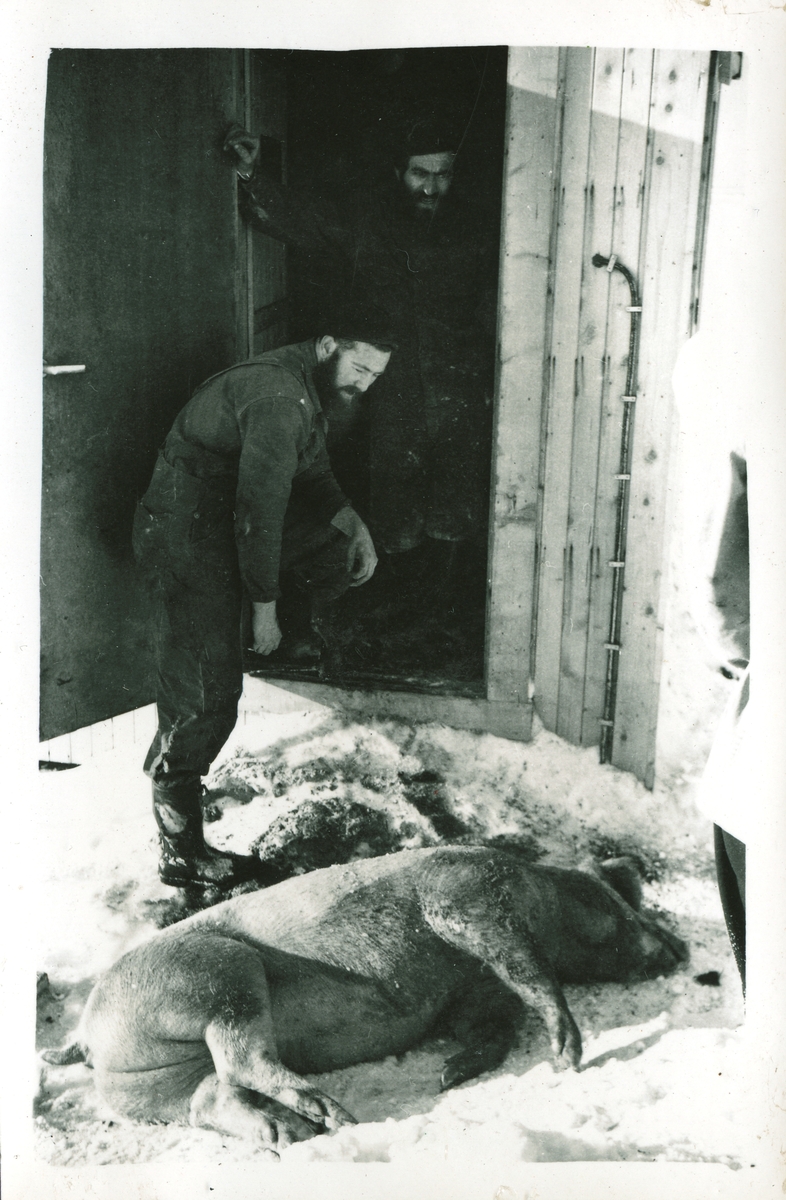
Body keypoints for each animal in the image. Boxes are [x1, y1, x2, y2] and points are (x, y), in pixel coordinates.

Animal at [43, 840, 686, 1156]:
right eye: (616, 898)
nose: (679, 948)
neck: (540, 894)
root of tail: (84, 1037)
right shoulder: (466, 897)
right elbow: (524, 967)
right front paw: (566, 1056)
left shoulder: (473, 995)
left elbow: (493, 1027)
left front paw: (449, 1075)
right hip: (220, 973)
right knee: (243, 1058)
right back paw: (335, 1117)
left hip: (155, 1085)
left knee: (212, 1095)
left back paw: (291, 1136)